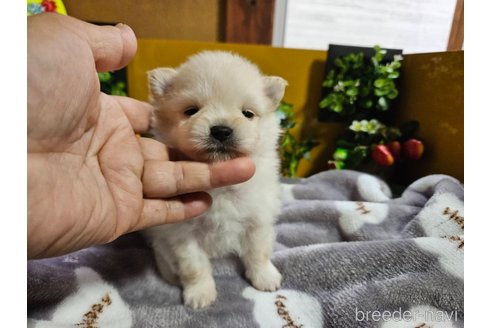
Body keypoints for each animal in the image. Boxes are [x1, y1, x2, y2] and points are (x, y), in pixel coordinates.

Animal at [142, 50, 286, 308]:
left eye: (247, 114)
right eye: (191, 111)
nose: (221, 130)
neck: (221, 190)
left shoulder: (257, 220)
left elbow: (258, 252)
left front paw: (265, 278)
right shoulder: (182, 233)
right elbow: (194, 267)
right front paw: (200, 293)